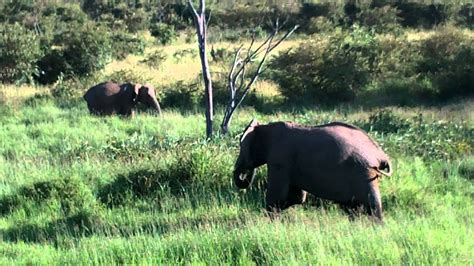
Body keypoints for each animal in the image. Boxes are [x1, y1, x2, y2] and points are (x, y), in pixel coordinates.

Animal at [233, 119, 392, 221]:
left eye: (242, 146)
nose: (245, 172)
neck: (265, 128)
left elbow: (277, 197)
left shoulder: (279, 160)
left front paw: (270, 220)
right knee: (353, 207)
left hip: (364, 173)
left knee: (371, 206)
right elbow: (296, 198)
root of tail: (381, 155)